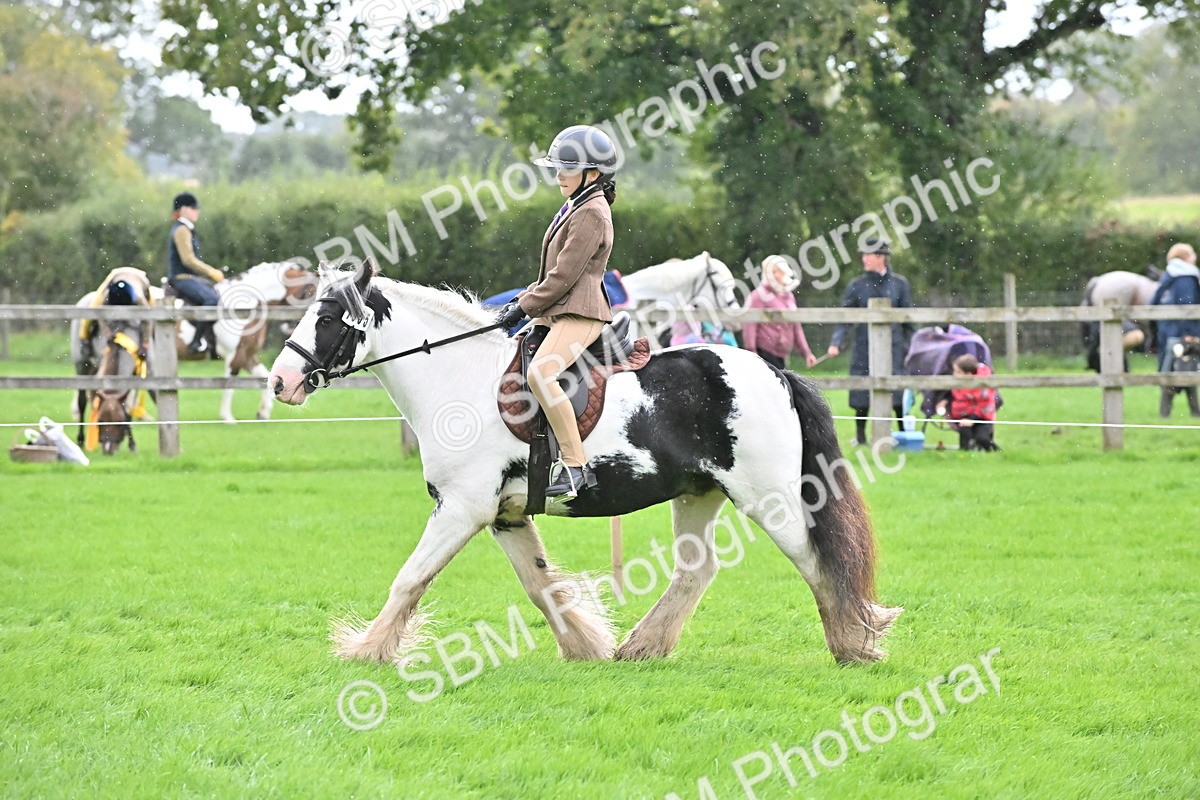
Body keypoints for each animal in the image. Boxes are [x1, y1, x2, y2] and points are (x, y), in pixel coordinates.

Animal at [268, 262, 901, 666]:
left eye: (328, 319)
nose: (280, 382)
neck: (458, 379)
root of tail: (773, 370)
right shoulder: (505, 517)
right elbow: (540, 587)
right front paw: (585, 647)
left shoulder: (460, 510)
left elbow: (409, 579)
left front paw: (365, 651)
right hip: (698, 494)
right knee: (696, 570)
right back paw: (641, 647)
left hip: (770, 499)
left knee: (817, 562)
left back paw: (854, 646)